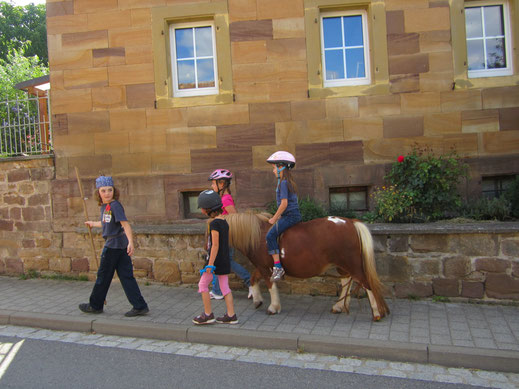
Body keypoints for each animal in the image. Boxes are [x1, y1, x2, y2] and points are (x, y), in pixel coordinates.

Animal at [228, 214, 390, 320]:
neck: (258, 235)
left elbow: (270, 285)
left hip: (352, 264)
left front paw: (273, 307)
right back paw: (339, 307)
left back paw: (376, 313)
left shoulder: (264, 268)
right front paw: (257, 300)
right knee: (346, 281)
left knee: (366, 284)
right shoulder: (263, 267)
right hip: (343, 265)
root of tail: (351, 222)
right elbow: (253, 278)